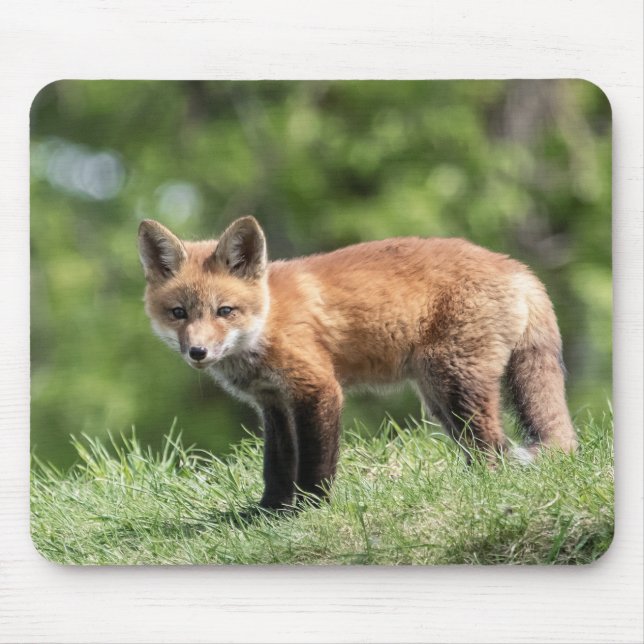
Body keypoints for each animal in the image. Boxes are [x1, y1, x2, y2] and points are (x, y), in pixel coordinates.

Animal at [137, 216, 577, 510]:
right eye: (178, 313)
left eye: (224, 311)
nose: (197, 352)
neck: (267, 320)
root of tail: (517, 267)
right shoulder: (273, 403)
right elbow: (276, 465)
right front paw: (268, 512)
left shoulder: (317, 388)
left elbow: (316, 462)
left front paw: (311, 510)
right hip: (438, 396)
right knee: (485, 445)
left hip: (454, 383)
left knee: (492, 447)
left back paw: (481, 489)